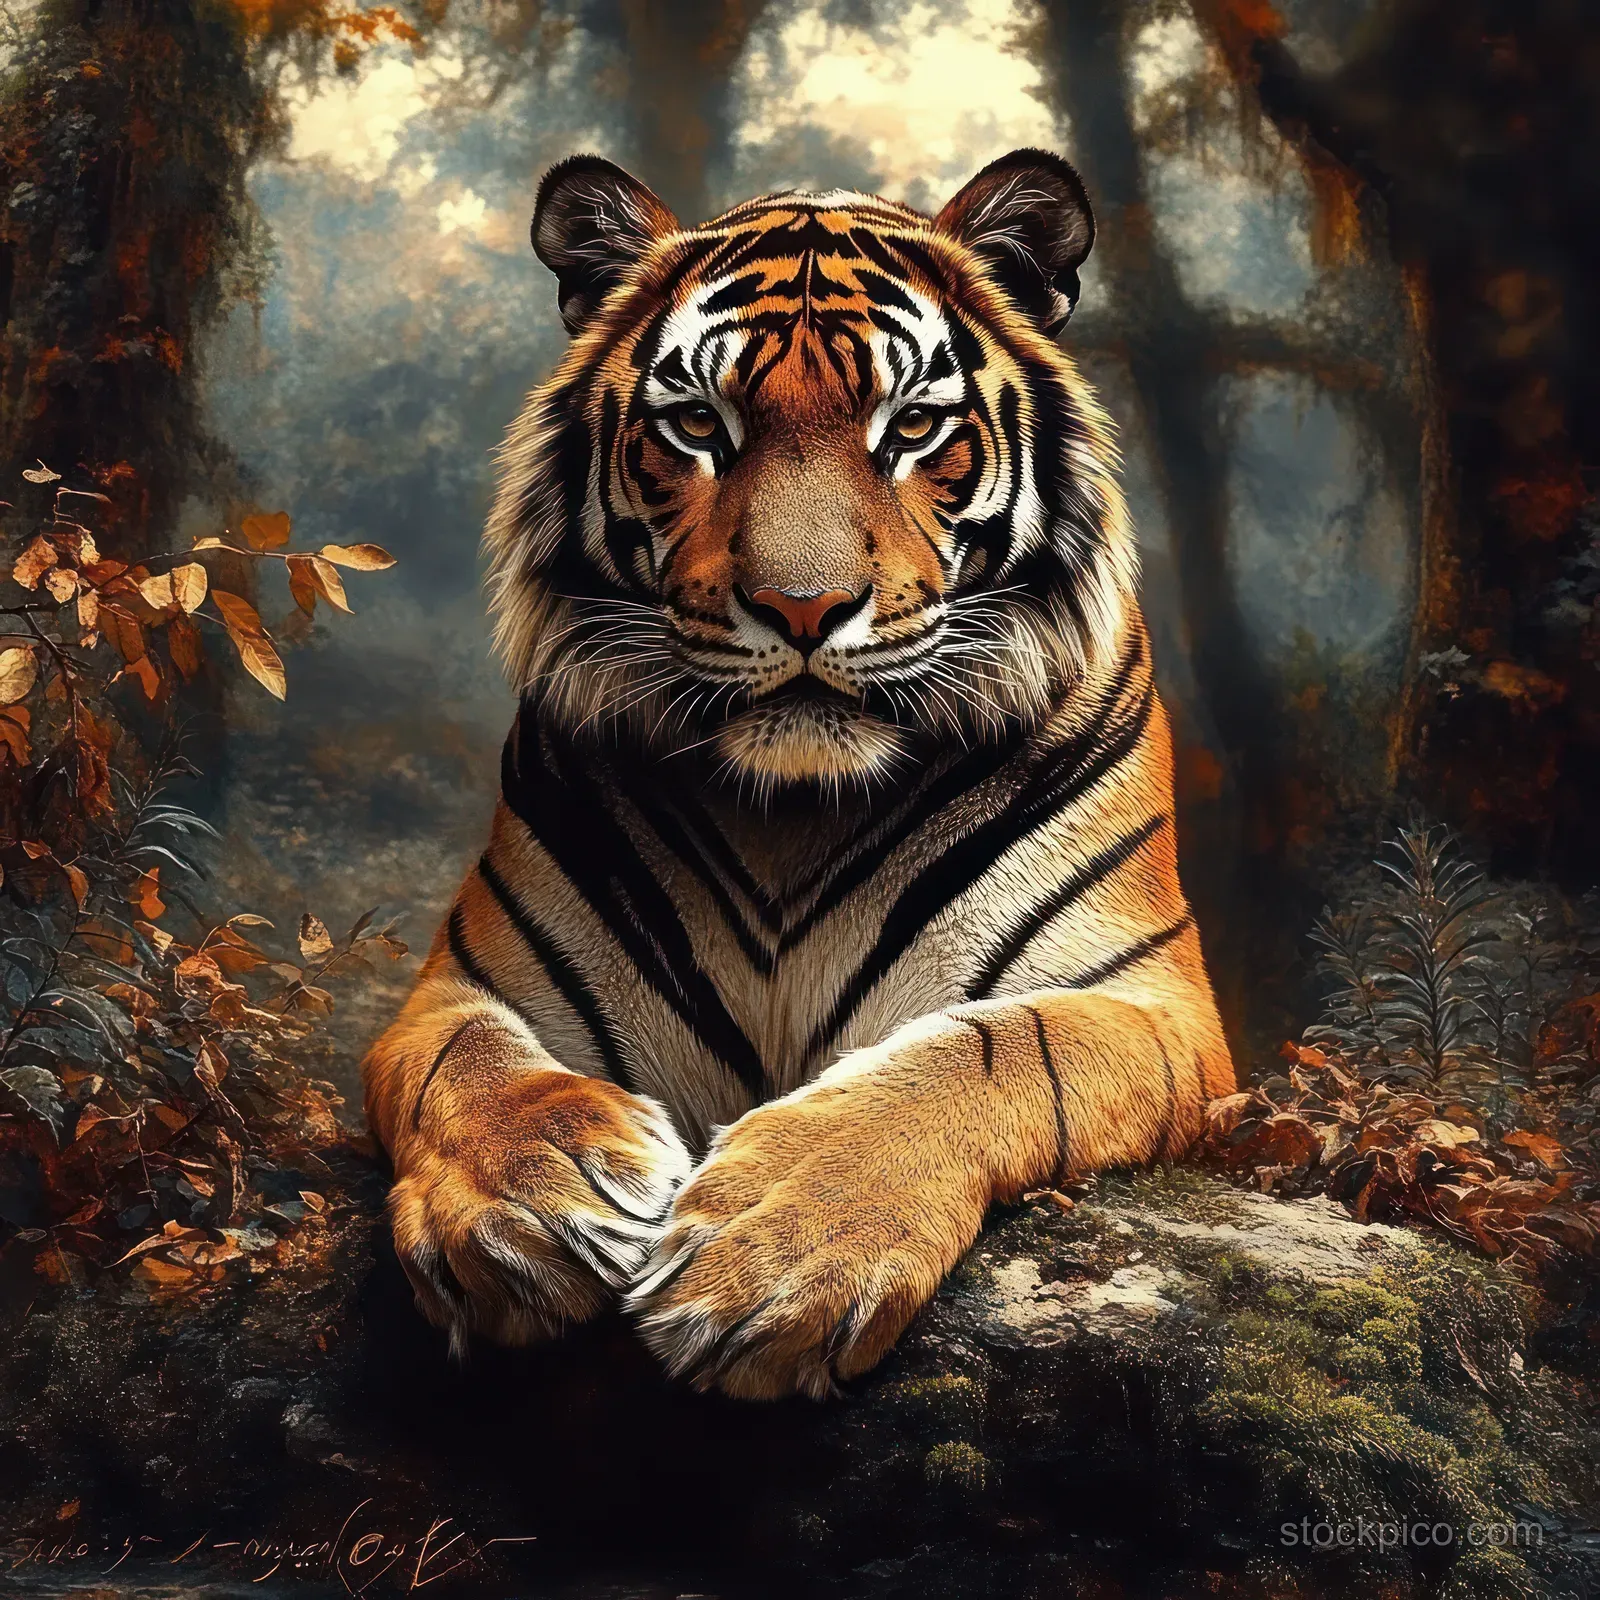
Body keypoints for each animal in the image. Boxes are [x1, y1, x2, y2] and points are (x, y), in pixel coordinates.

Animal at [362, 147, 1235, 1401]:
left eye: (911, 426)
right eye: (697, 424)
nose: (802, 606)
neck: (791, 813)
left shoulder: (1150, 1004)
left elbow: (985, 1052)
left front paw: (769, 1253)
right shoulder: (464, 985)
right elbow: (468, 1066)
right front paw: (527, 1209)